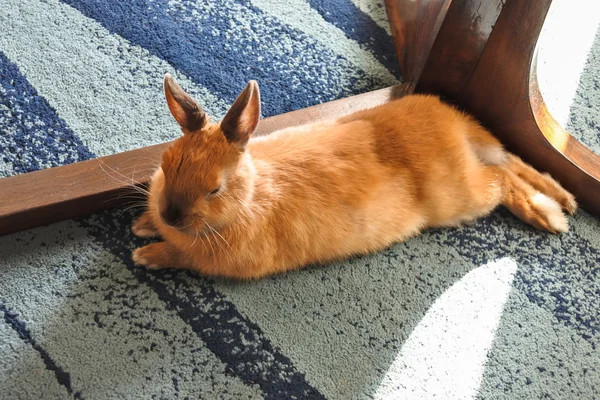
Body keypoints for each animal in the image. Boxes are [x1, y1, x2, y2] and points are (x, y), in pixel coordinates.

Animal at [131, 74, 576, 278]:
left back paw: (550, 215)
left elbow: (183, 256)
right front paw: (142, 225)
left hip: (462, 196)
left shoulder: (220, 259)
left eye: (214, 189)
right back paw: (565, 199)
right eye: (167, 163)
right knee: (510, 161)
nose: (169, 216)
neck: (249, 197)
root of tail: (454, 124)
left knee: (501, 178)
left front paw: (145, 254)